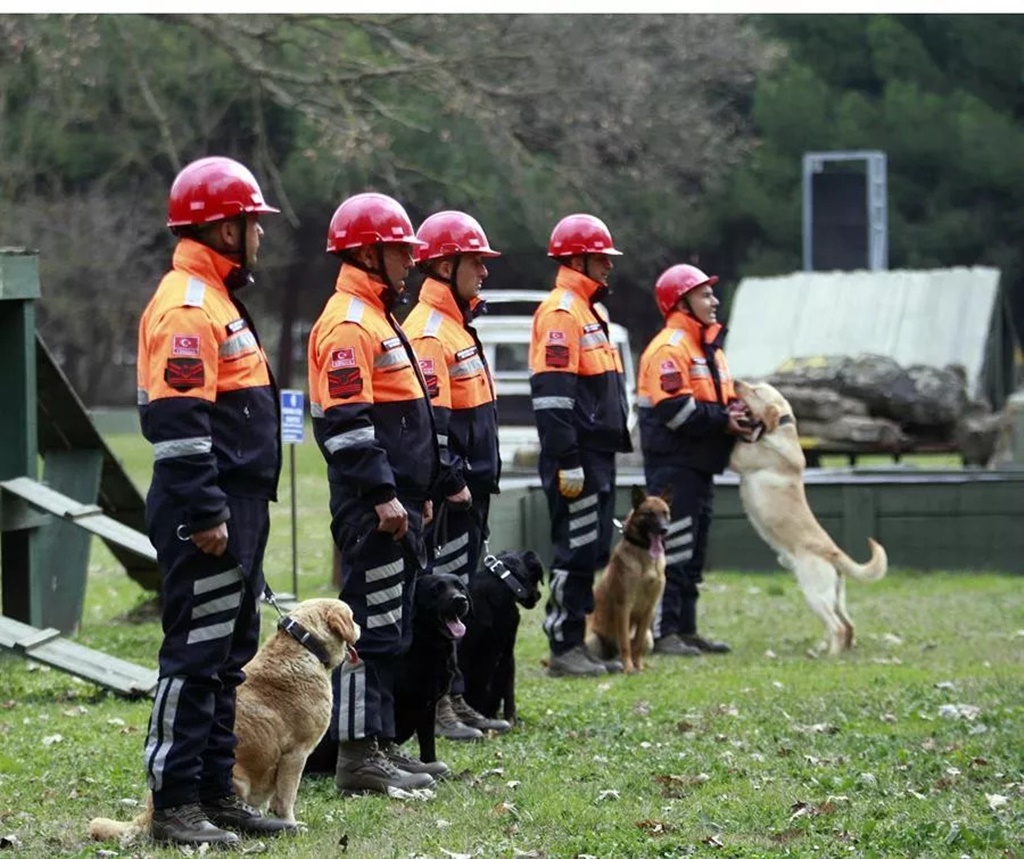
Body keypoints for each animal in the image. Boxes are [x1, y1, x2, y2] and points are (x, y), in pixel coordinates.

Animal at [89, 597, 360, 839]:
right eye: (353, 616)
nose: (360, 627)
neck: (304, 645)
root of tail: (149, 813)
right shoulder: (295, 754)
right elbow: (286, 798)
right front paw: (289, 823)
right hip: (236, 778)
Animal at [585, 487, 671, 675]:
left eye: (665, 513)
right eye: (649, 513)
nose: (664, 529)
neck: (646, 559)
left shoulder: (649, 610)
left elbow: (636, 645)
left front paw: (638, 666)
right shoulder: (624, 607)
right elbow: (625, 643)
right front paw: (629, 668)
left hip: (649, 638)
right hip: (592, 639)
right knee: (602, 656)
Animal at [729, 378, 888, 655]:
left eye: (756, 391)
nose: (735, 381)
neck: (781, 430)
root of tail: (834, 552)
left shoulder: (741, 457)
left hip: (815, 594)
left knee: (838, 627)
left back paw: (831, 656)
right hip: (835, 597)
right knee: (849, 626)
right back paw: (838, 651)